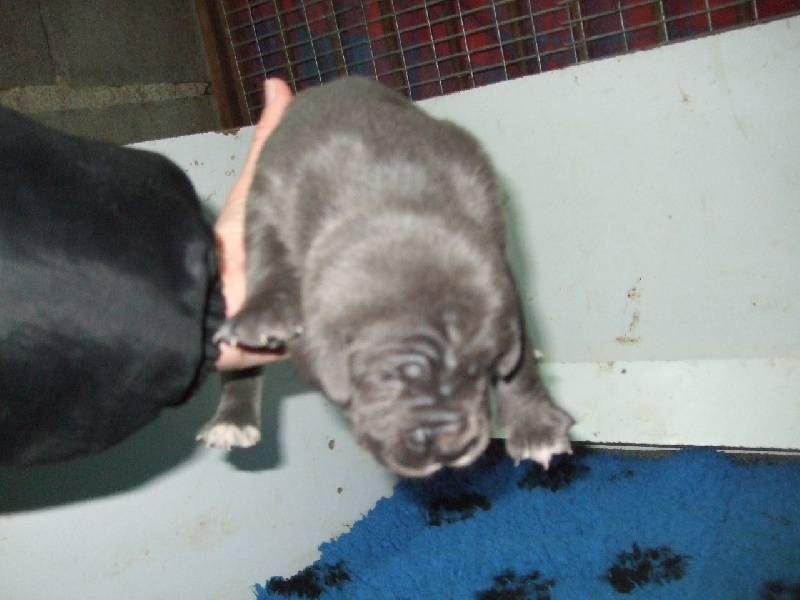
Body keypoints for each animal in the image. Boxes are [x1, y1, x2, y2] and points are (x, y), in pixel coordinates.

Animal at [197, 77, 573, 477]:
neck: (390, 197)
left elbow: (519, 362)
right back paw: (232, 420)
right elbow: (267, 254)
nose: (450, 450)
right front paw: (265, 312)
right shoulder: (269, 195)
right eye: (386, 378)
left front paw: (535, 425)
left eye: (481, 369)